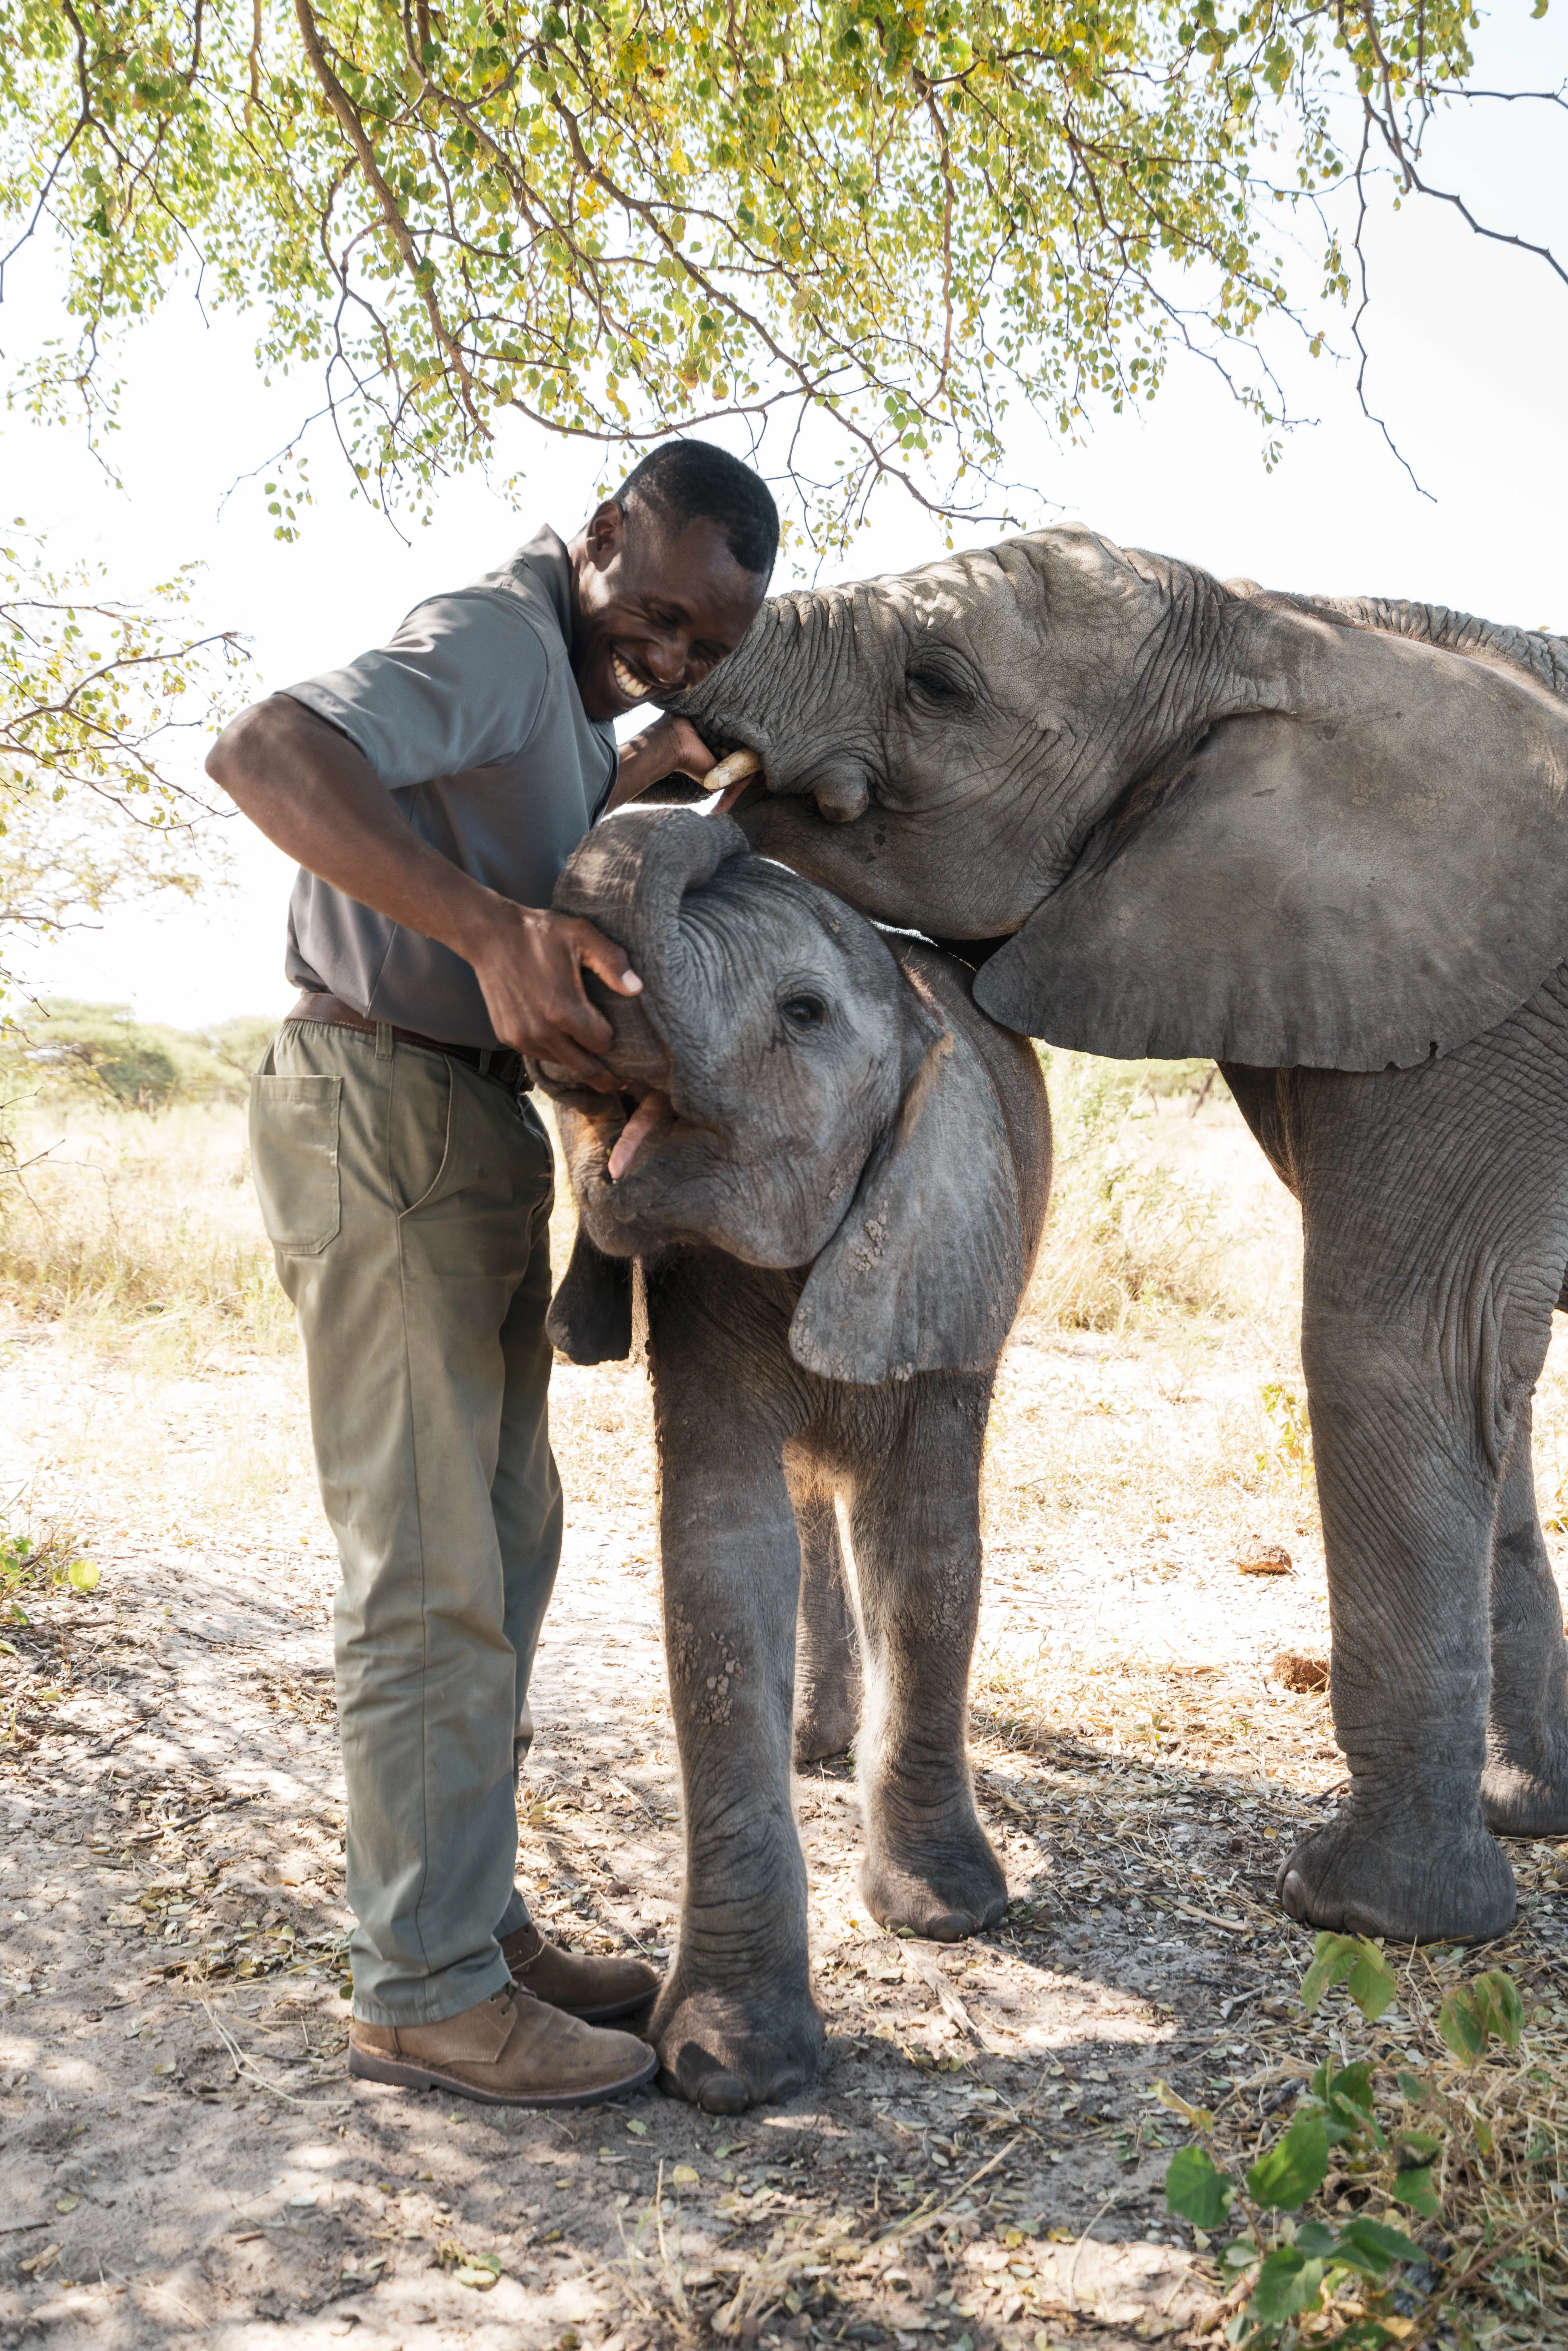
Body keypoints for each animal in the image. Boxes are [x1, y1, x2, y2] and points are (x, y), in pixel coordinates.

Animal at [529, 803, 1051, 2111]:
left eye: (803, 1012)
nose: (708, 804)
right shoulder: (697, 1288)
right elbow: (723, 1558)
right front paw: (735, 2066)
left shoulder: (948, 1262)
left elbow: (924, 1546)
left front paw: (945, 1918)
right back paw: (816, 1745)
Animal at [661, 523, 1568, 1948]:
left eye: (938, 684)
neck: (1287, 627)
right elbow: (1493, 1376)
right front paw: (1520, 1820)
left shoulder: (1487, 1001)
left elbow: (1401, 1346)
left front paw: (1362, 1913)